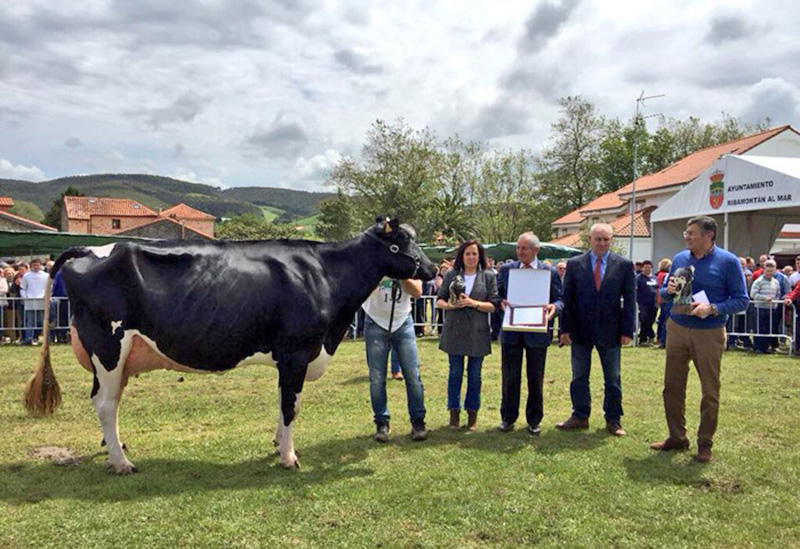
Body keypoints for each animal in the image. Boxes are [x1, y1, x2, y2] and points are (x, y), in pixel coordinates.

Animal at [25, 216, 434, 474]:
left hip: (118, 357)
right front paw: (288, 457)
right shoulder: (296, 352)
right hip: (109, 346)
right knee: (106, 404)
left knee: (107, 403)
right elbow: (291, 405)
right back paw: (123, 464)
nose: (430, 270)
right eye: (401, 243)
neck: (325, 274)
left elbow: (285, 402)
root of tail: (86, 250)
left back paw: (117, 451)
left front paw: (278, 444)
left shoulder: (290, 358)